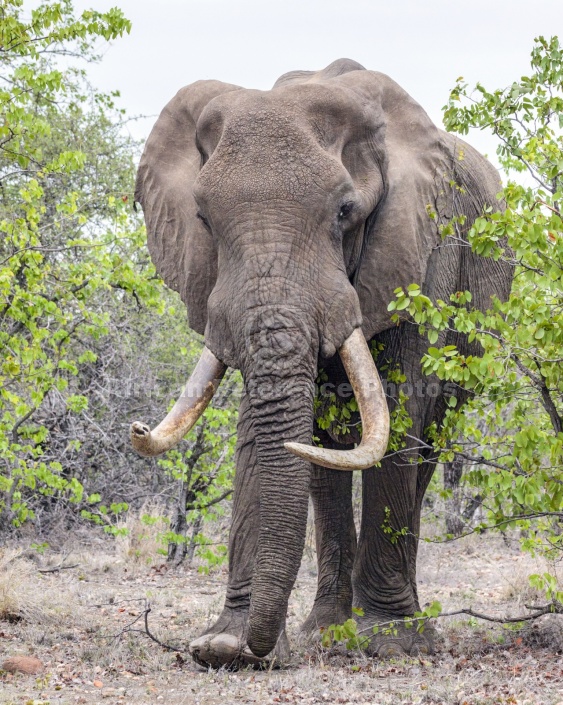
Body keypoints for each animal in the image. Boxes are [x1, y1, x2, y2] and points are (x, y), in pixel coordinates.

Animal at [130, 59, 512, 664]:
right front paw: (227, 648)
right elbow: (262, 423)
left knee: (428, 440)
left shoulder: (421, 249)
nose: (138, 427)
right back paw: (327, 630)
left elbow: (401, 404)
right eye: (203, 219)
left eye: (344, 213)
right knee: (327, 464)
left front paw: (390, 643)